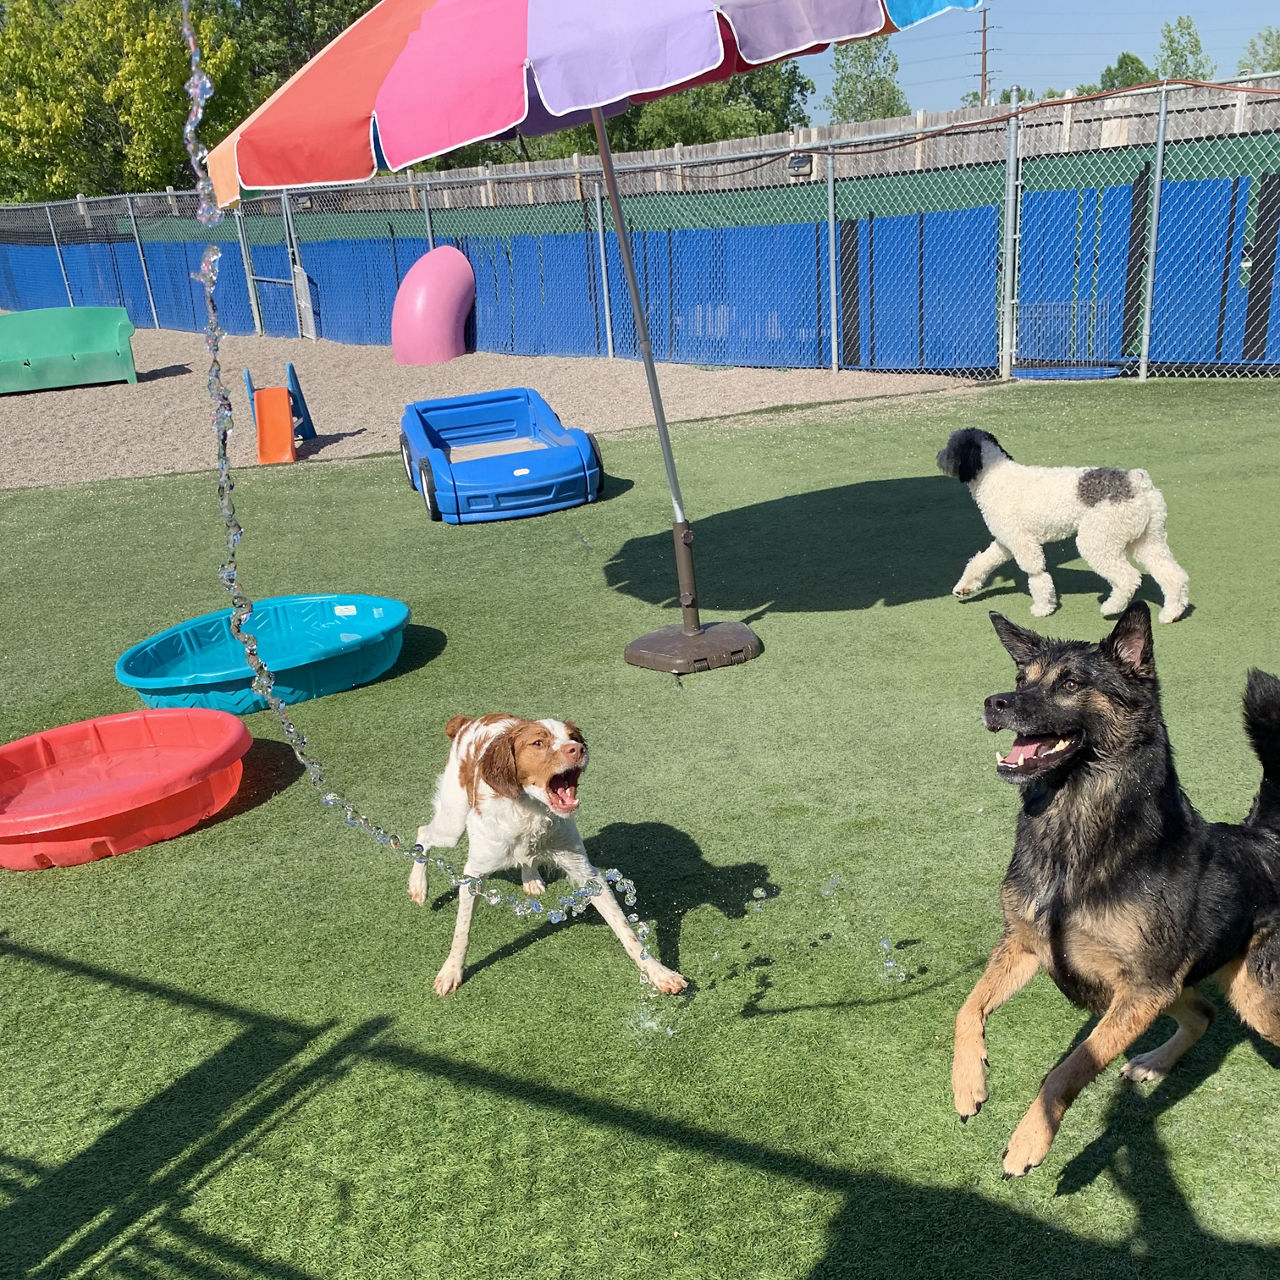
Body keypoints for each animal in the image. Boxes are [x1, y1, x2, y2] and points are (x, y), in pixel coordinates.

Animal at [409, 716, 691, 993]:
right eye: (538, 743)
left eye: (573, 737)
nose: (578, 749)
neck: (530, 811)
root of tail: (468, 721)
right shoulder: (474, 874)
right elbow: (462, 930)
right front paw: (451, 970)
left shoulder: (586, 872)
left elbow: (625, 929)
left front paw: (658, 972)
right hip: (452, 823)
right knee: (423, 833)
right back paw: (418, 886)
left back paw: (531, 879)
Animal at [931, 430, 1187, 624]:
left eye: (950, 447)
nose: (937, 455)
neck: (993, 475)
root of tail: (1137, 482)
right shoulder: (1005, 541)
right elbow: (981, 562)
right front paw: (965, 587)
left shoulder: (1023, 542)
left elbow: (1037, 574)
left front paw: (1043, 607)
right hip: (1147, 539)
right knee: (1173, 576)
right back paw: (1171, 613)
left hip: (1097, 539)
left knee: (1129, 578)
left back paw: (1111, 607)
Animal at [957, 601, 1280, 1177]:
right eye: (1021, 679)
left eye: (1070, 683)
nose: (995, 703)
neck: (1073, 831)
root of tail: (1265, 837)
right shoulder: (1028, 946)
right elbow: (966, 1009)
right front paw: (968, 1083)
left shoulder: (1143, 987)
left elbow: (1067, 1068)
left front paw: (1029, 1140)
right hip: (1177, 985)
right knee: (1203, 1013)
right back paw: (1154, 1062)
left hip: (1253, 996)